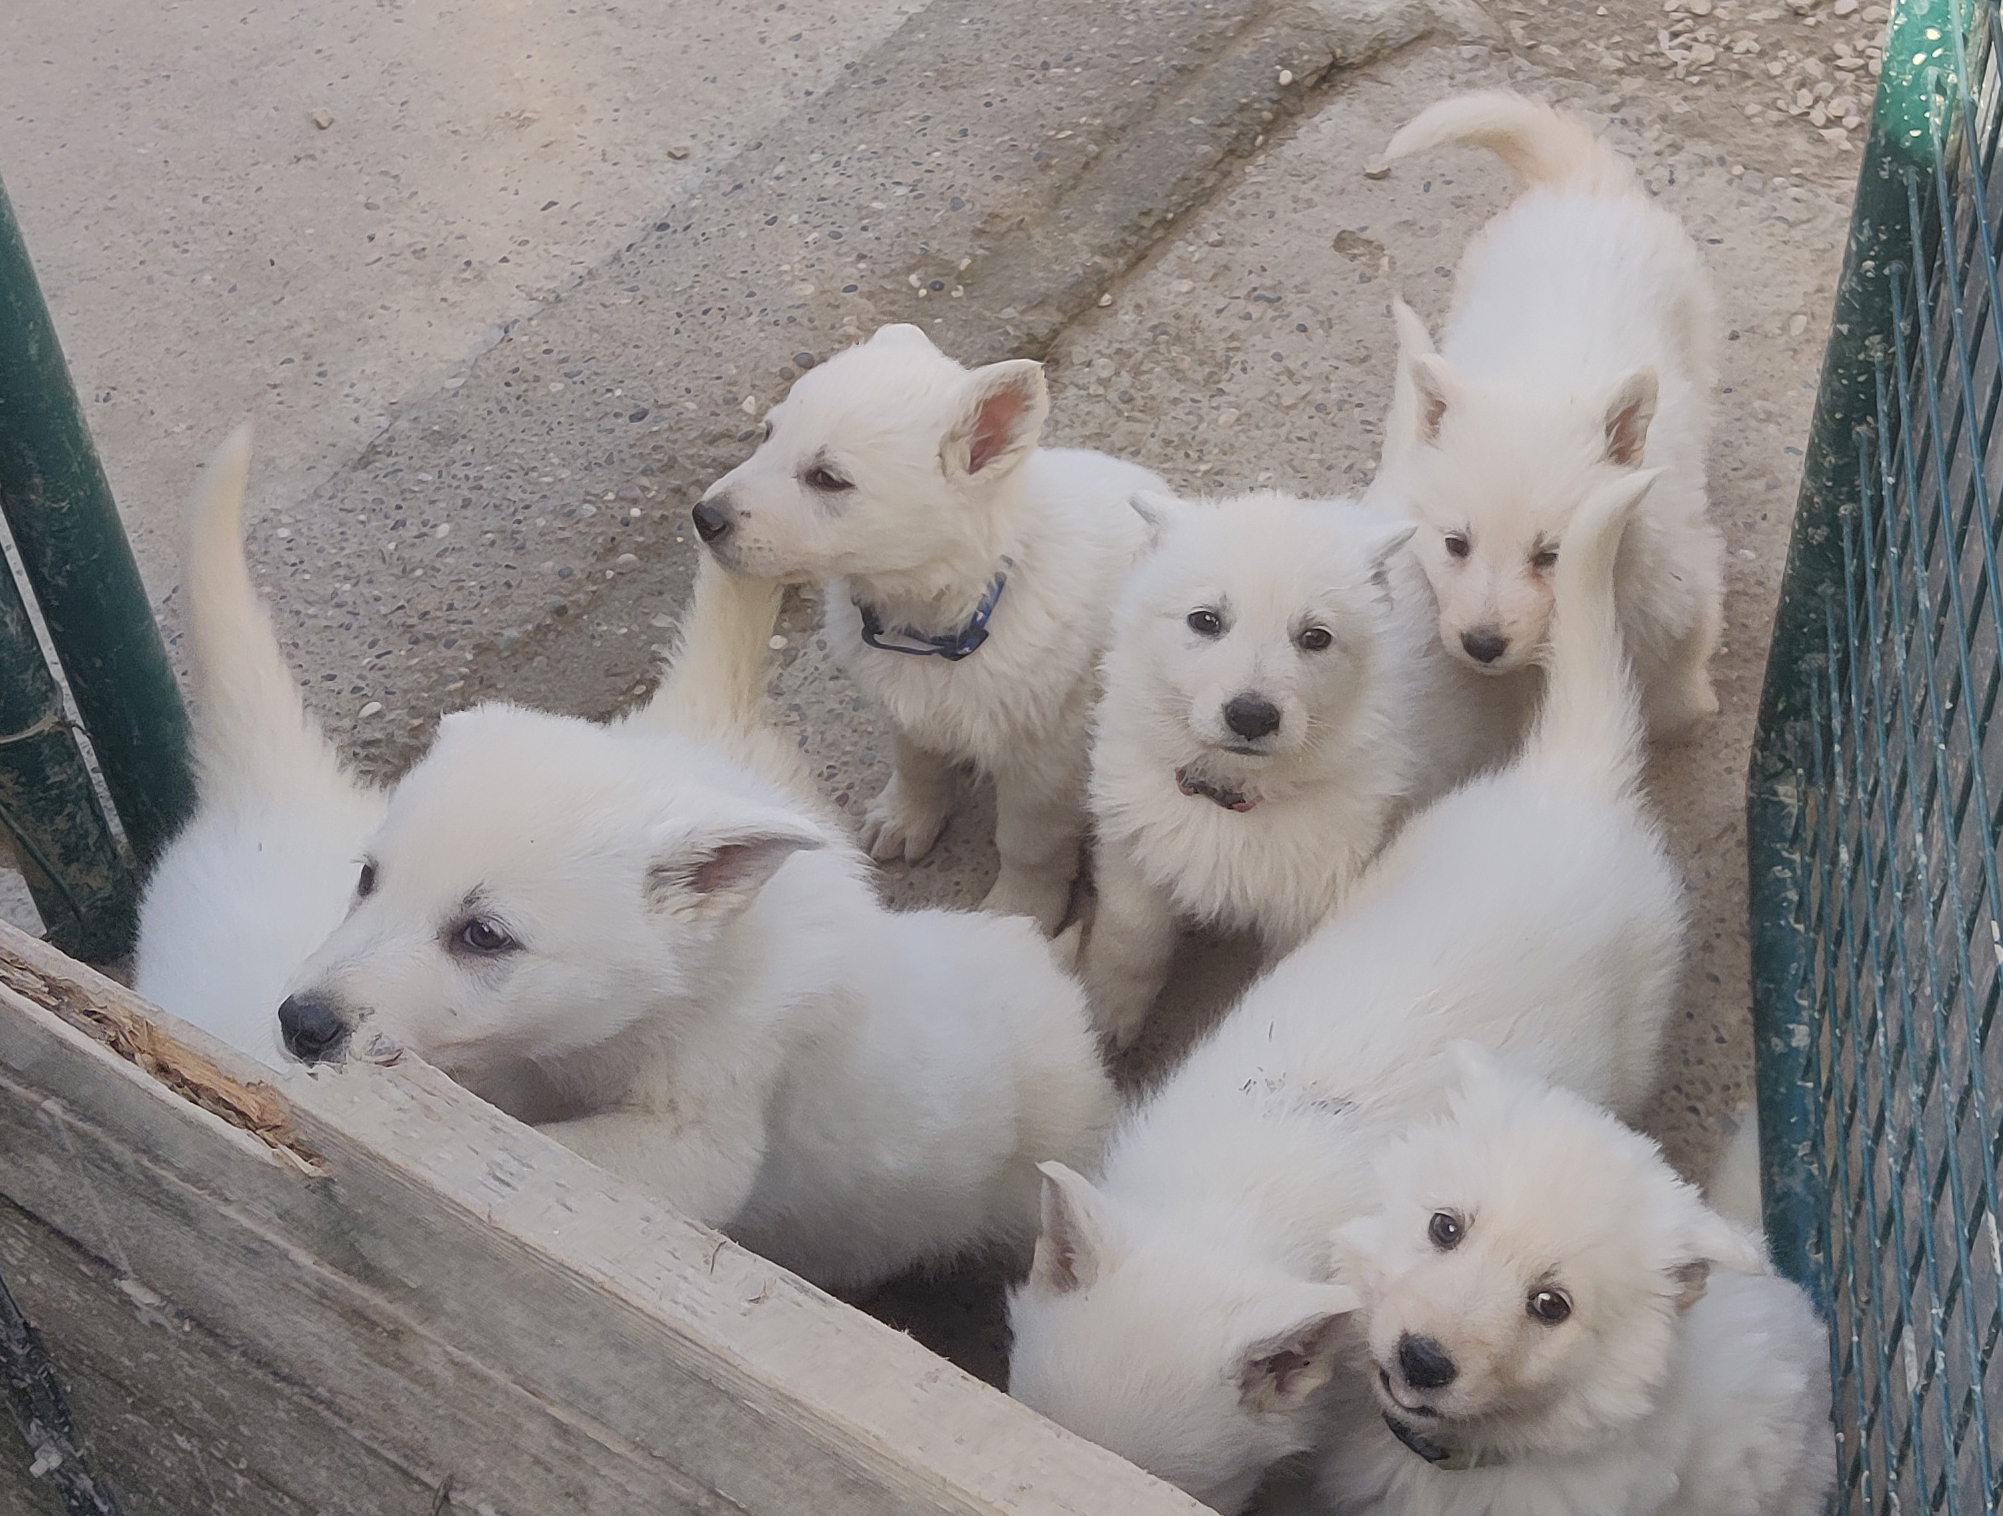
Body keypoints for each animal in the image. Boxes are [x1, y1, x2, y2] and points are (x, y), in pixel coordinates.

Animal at [689, 321, 1166, 932]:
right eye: (767, 433)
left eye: (827, 479)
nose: (705, 517)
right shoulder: (906, 701)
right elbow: (917, 763)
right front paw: (904, 818)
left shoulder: (1048, 752)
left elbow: (1028, 842)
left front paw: (1020, 912)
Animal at [1081, 489, 1527, 1046]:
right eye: (1205, 620)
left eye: (1316, 637)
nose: (1252, 716)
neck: (1237, 799)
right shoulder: (1133, 849)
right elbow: (1130, 939)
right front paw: (1107, 1021)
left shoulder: (1308, 900)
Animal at [1367, 91, 1725, 742]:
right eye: (1456, 544)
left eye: (1549, 556)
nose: (1482, 645)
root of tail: (1582, 185)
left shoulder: (1685, 579)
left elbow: (1684, 658)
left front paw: (1688, 710)